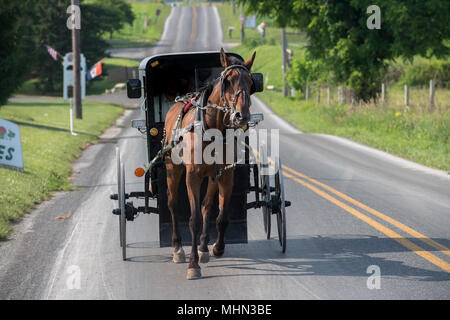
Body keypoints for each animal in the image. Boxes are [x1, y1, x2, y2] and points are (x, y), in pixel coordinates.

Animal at [164, 48, 256, 280]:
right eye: (228, 81)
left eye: (251, 82)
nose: (242, 115)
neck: (213, 127)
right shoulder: (192, 176)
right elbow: (194, 219)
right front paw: (192, 265)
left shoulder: (226, 174)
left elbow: (221, 217)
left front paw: (216, 248)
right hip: (172, 168)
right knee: (172, 203)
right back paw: (177, 248)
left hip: (212, 176)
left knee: (207, 206)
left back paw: (203, 248)